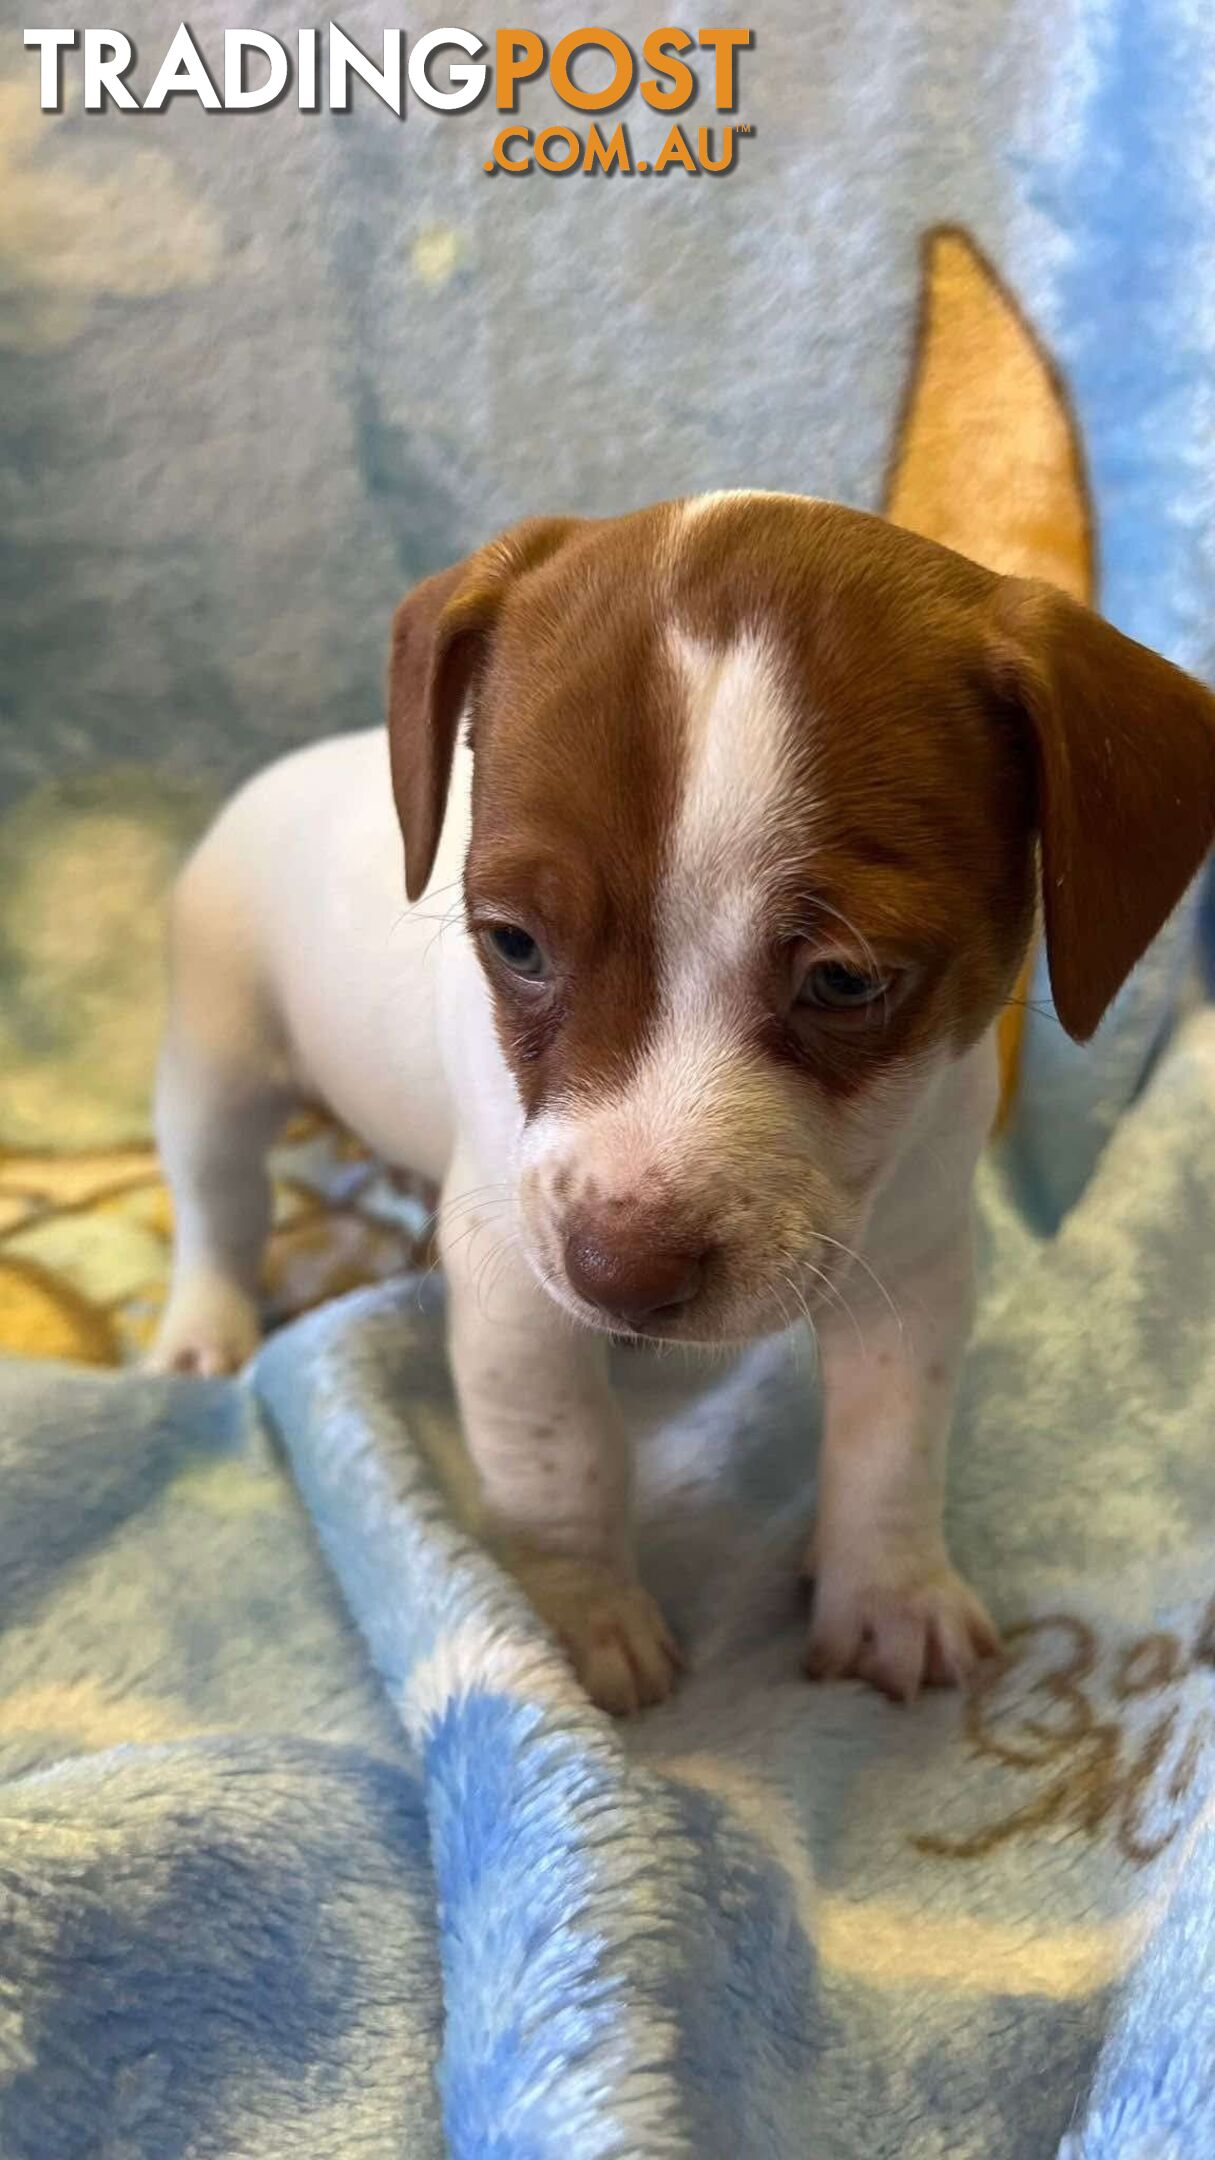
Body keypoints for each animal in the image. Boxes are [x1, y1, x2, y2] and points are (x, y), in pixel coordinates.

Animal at [149, 496, 1210, 1710]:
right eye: (513, 944)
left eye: (845, 981)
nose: (622, 1280)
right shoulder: (517, 1279)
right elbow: (559, 1457)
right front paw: (578, 1623)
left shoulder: (916, 1262)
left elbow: (893, 1440)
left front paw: (886, 1587)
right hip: (216, 1057)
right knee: (219, 1203)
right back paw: (205, 1327)